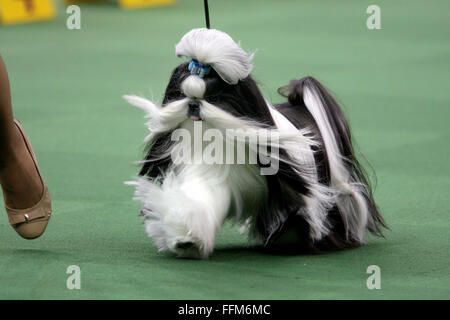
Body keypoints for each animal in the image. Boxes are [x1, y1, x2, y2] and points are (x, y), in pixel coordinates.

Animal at [124, 26, 386, 258]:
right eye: (182, 93)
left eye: (214, 97)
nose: (193, 104)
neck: (225, 139)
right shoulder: (211, 177)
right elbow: (200, 199)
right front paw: (186, 238)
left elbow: (301, 210)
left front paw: (292, 235)